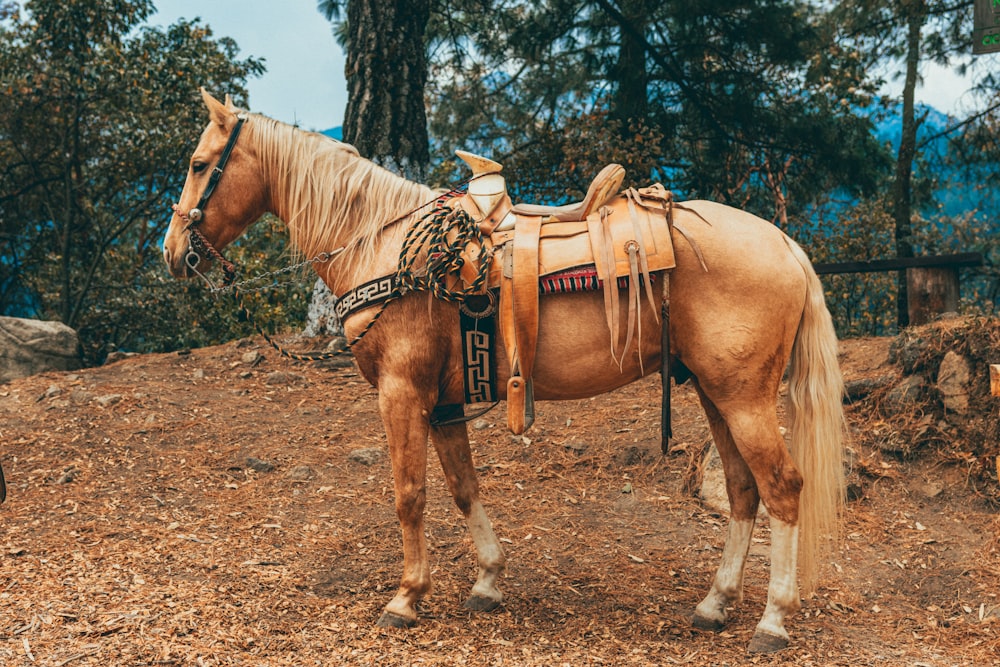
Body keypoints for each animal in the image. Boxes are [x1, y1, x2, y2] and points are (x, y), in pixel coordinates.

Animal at [162, 91, 844, 656]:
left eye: (198, 164)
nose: (173, 252)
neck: (386, 247)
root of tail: (786, 245)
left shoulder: (401, 392)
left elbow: (410, 495)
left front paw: (406, 597)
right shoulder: (442, 402)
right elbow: (463, 487)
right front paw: (487, 581)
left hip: (743, 398)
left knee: (783, 488)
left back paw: (773, 621)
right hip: (712, 393)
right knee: (743, 490)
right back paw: (714, 604)